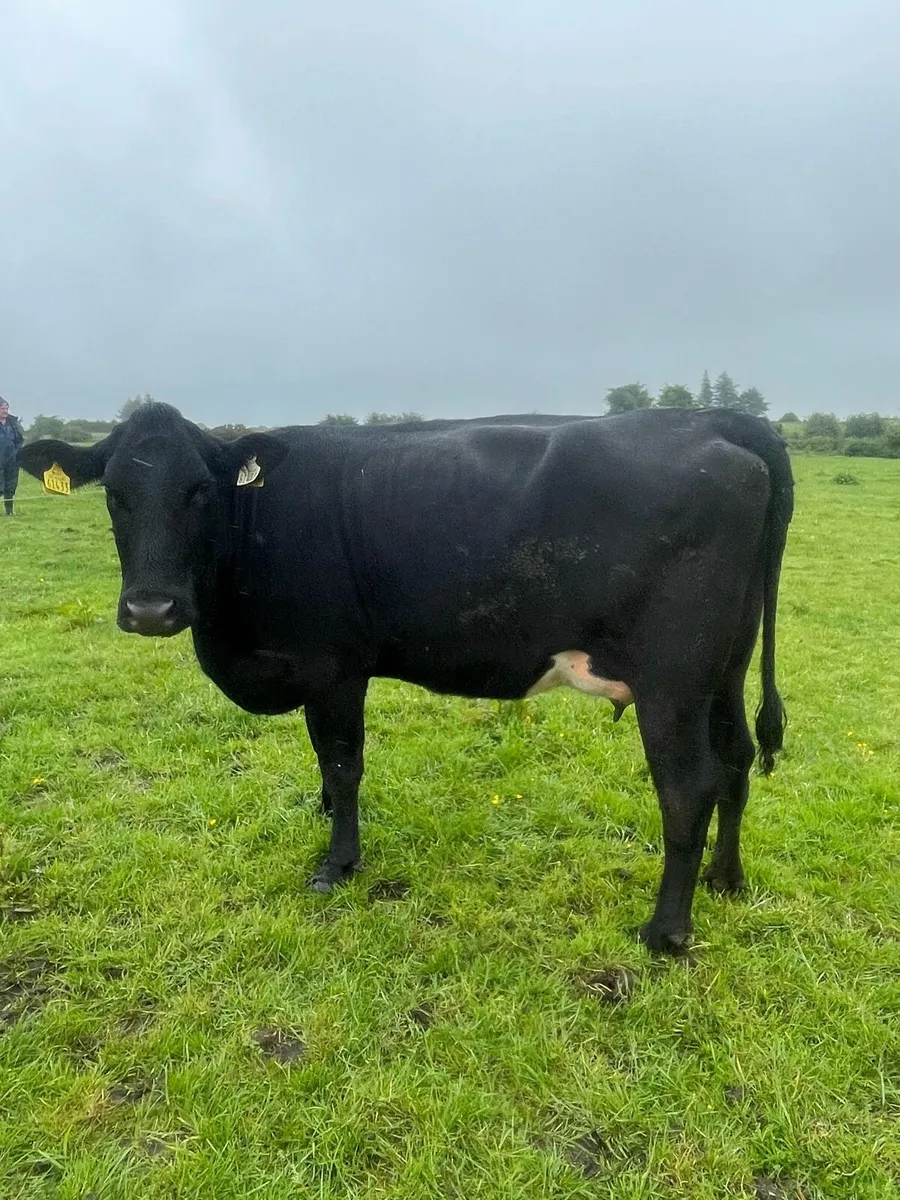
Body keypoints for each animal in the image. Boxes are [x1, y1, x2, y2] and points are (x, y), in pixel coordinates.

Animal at [20, 403, 793, 954]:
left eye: (200, 492)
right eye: (115, 494)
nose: (151, 609)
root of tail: (715, 418)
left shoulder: (333, 667)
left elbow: (342, 764)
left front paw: (338, 864)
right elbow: (326, 768)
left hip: (673, 681)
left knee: (688, 788)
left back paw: (665, 931)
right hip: (726, 667)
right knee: (736, 760)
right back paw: (726, 880)